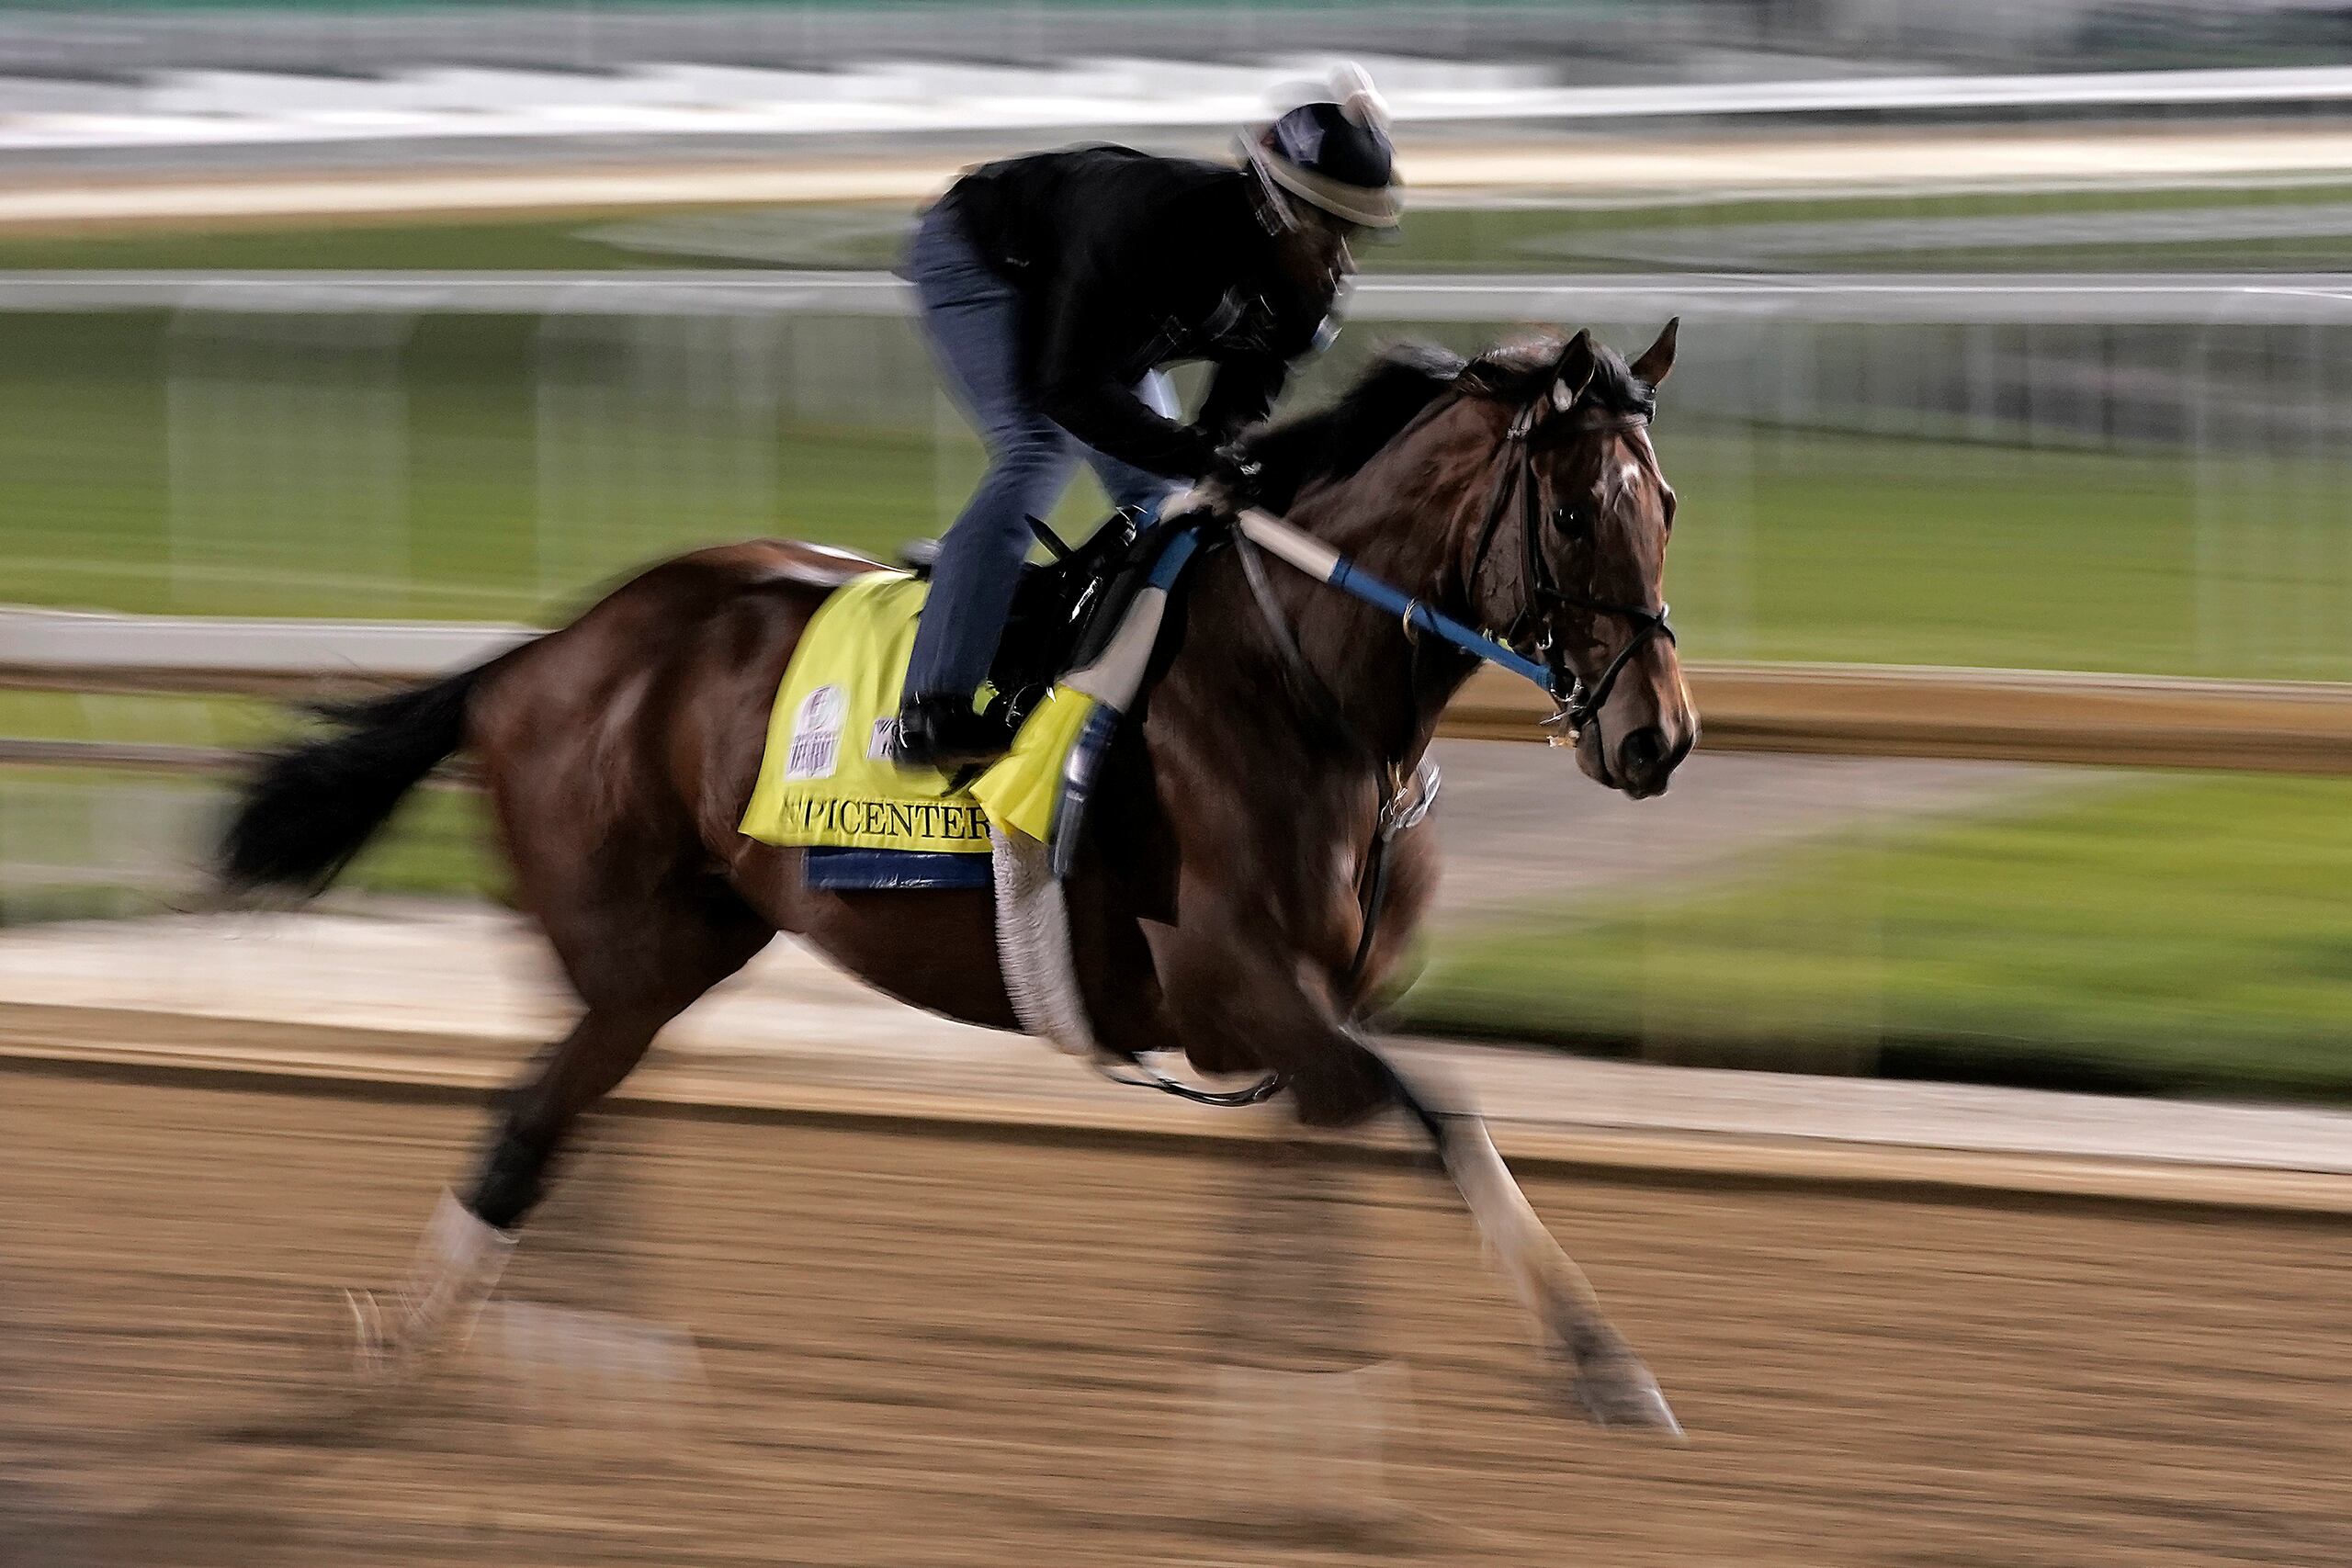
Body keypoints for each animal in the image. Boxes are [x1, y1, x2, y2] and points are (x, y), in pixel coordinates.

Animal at [216, 320, 1693, 1438]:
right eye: (1574, 511)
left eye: (1668, 507)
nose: (1658, 736)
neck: (1307, 692)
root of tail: (534, 655)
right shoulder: (1236, 982)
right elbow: (1442, 1118)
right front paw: (1605, 1367)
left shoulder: (1318, 1007)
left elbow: (1307, 1180)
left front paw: (1289, 1424)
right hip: (625, 948)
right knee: (532, 1129)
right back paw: (471, 1359)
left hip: (676, 948)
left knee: (571, 1118)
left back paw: (585, 1370)